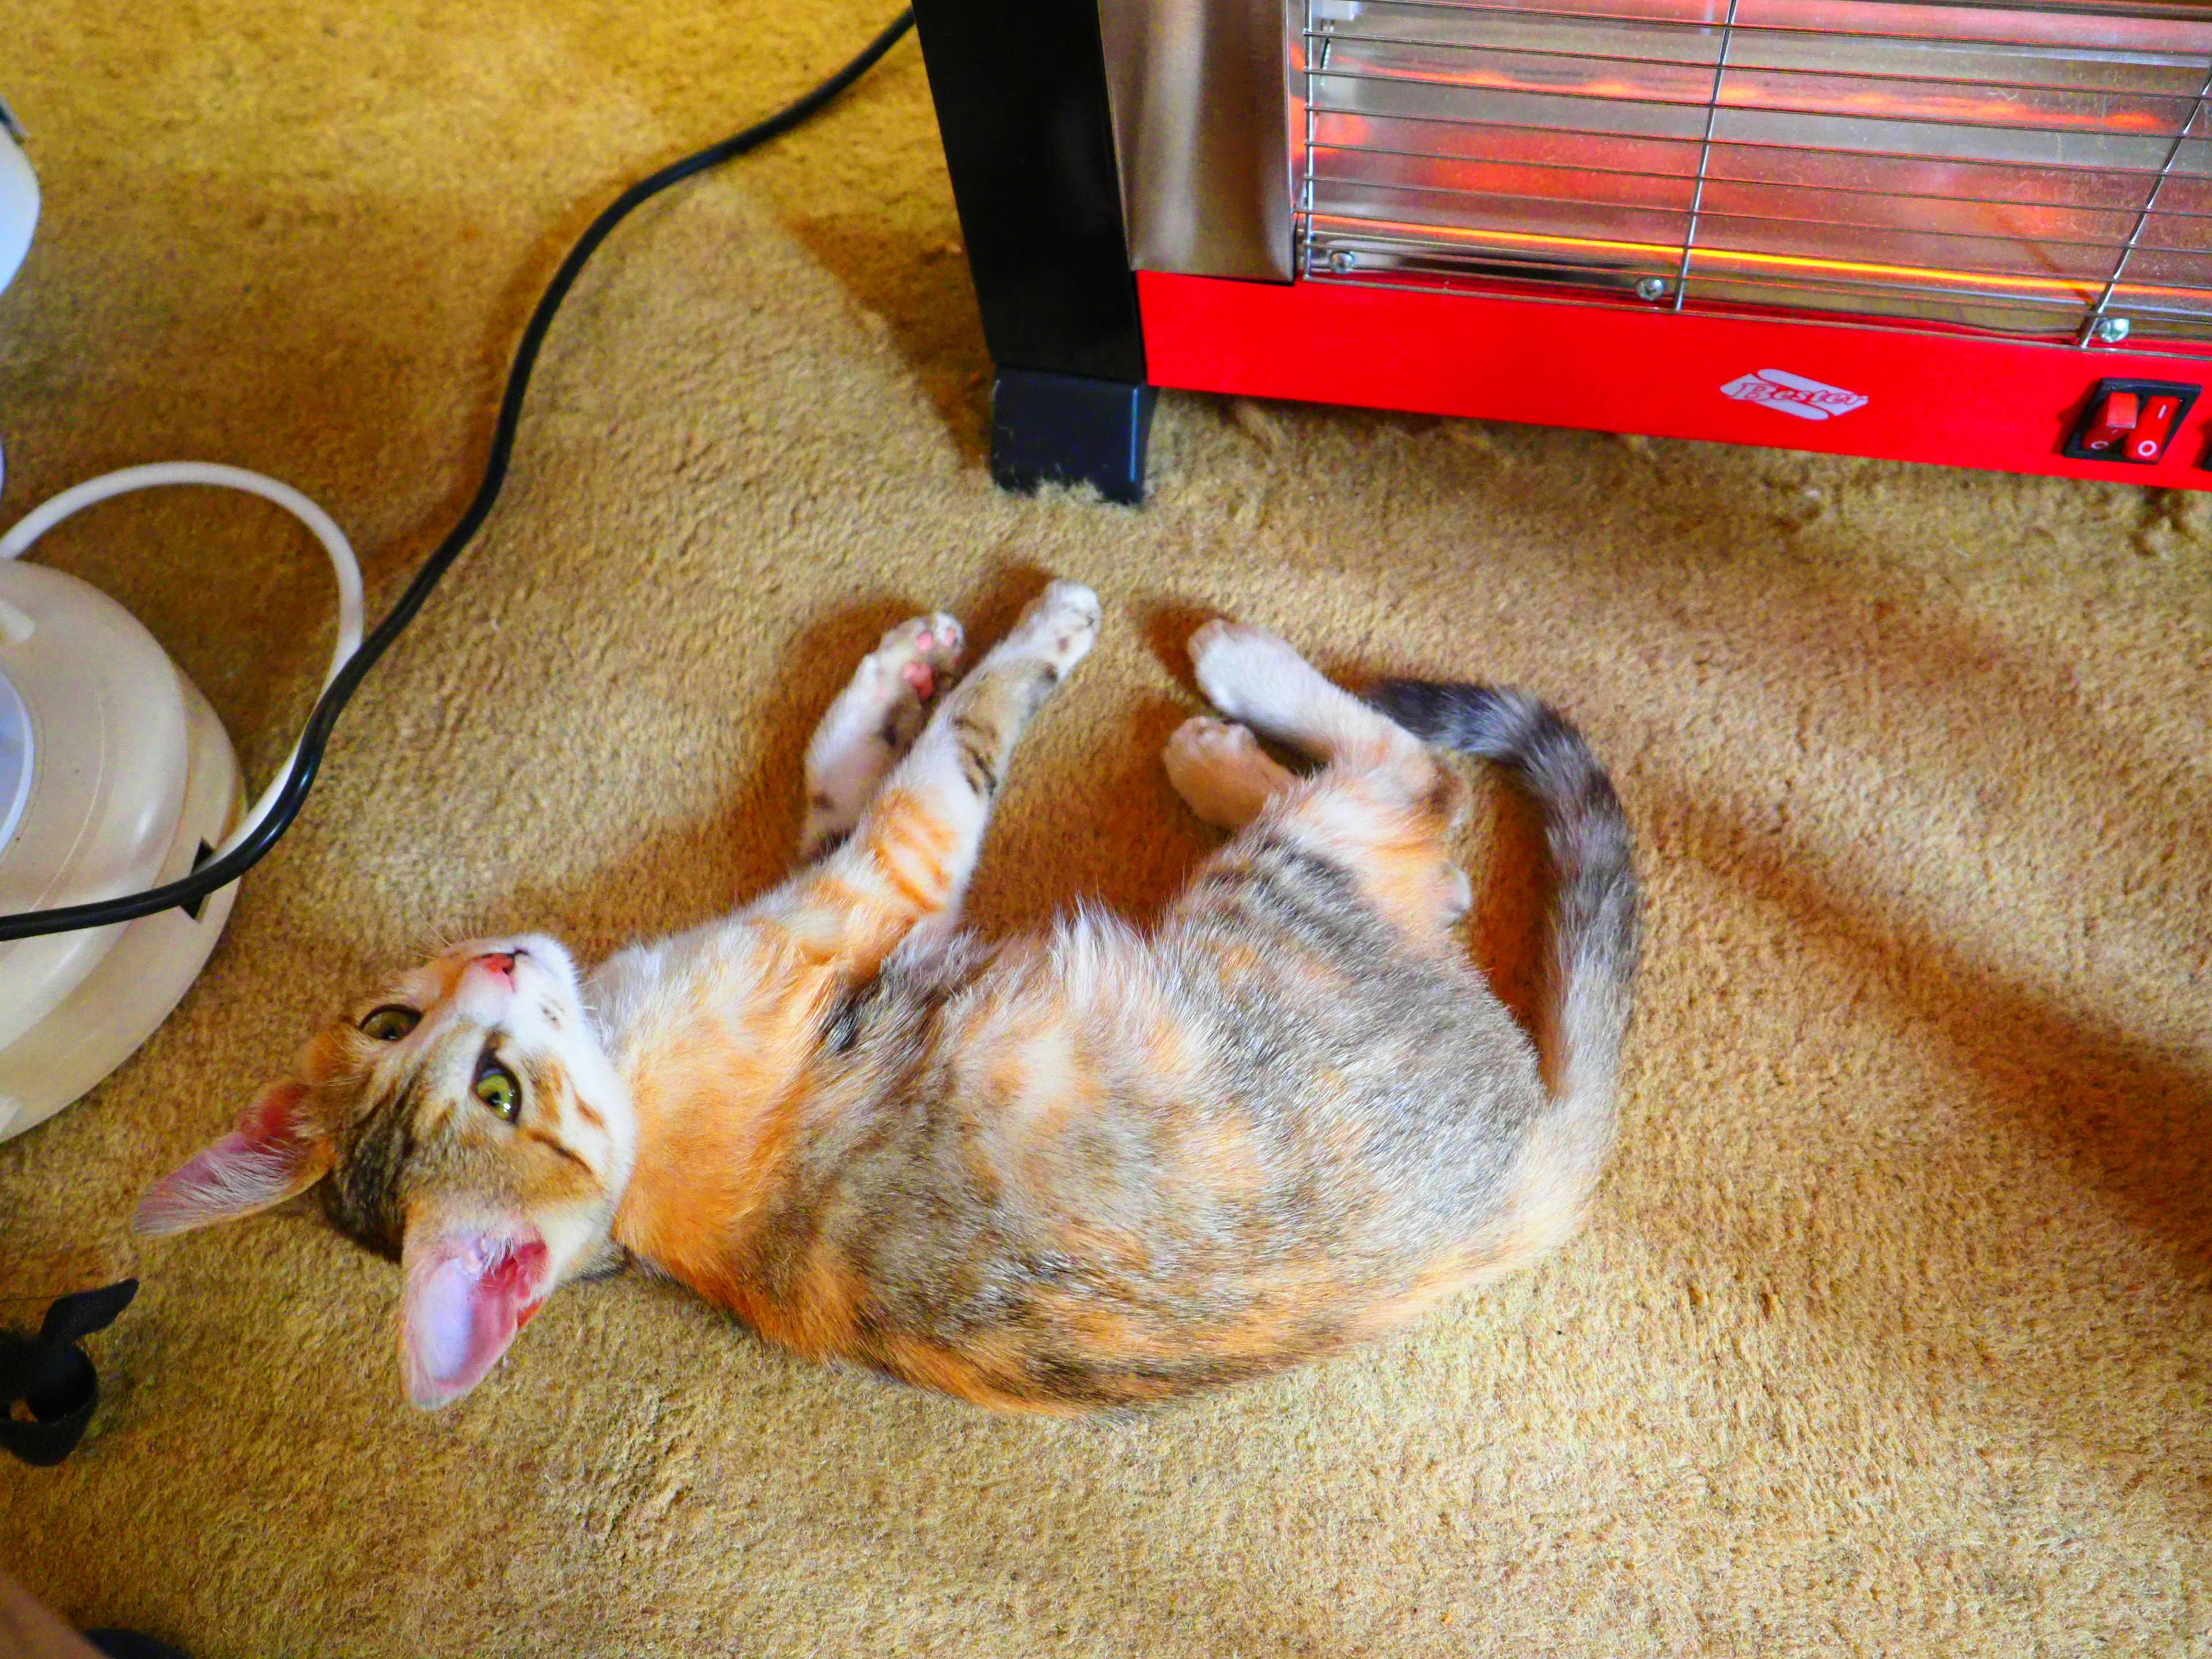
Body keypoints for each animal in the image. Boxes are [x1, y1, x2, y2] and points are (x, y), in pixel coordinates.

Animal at [129, 584, 1637, 1415]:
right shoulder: (882, 879)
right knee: (1409, 781)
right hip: (1282, 893)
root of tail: (1531, 1183)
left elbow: (840, 765)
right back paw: (1228, 690)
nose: (496, 971)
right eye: (490, 1087)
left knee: (1439, 851)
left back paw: (1215, 745)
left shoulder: (847, 875)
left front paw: (896, 664)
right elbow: (961, 739)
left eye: (395, 1025)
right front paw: (1034, 630)